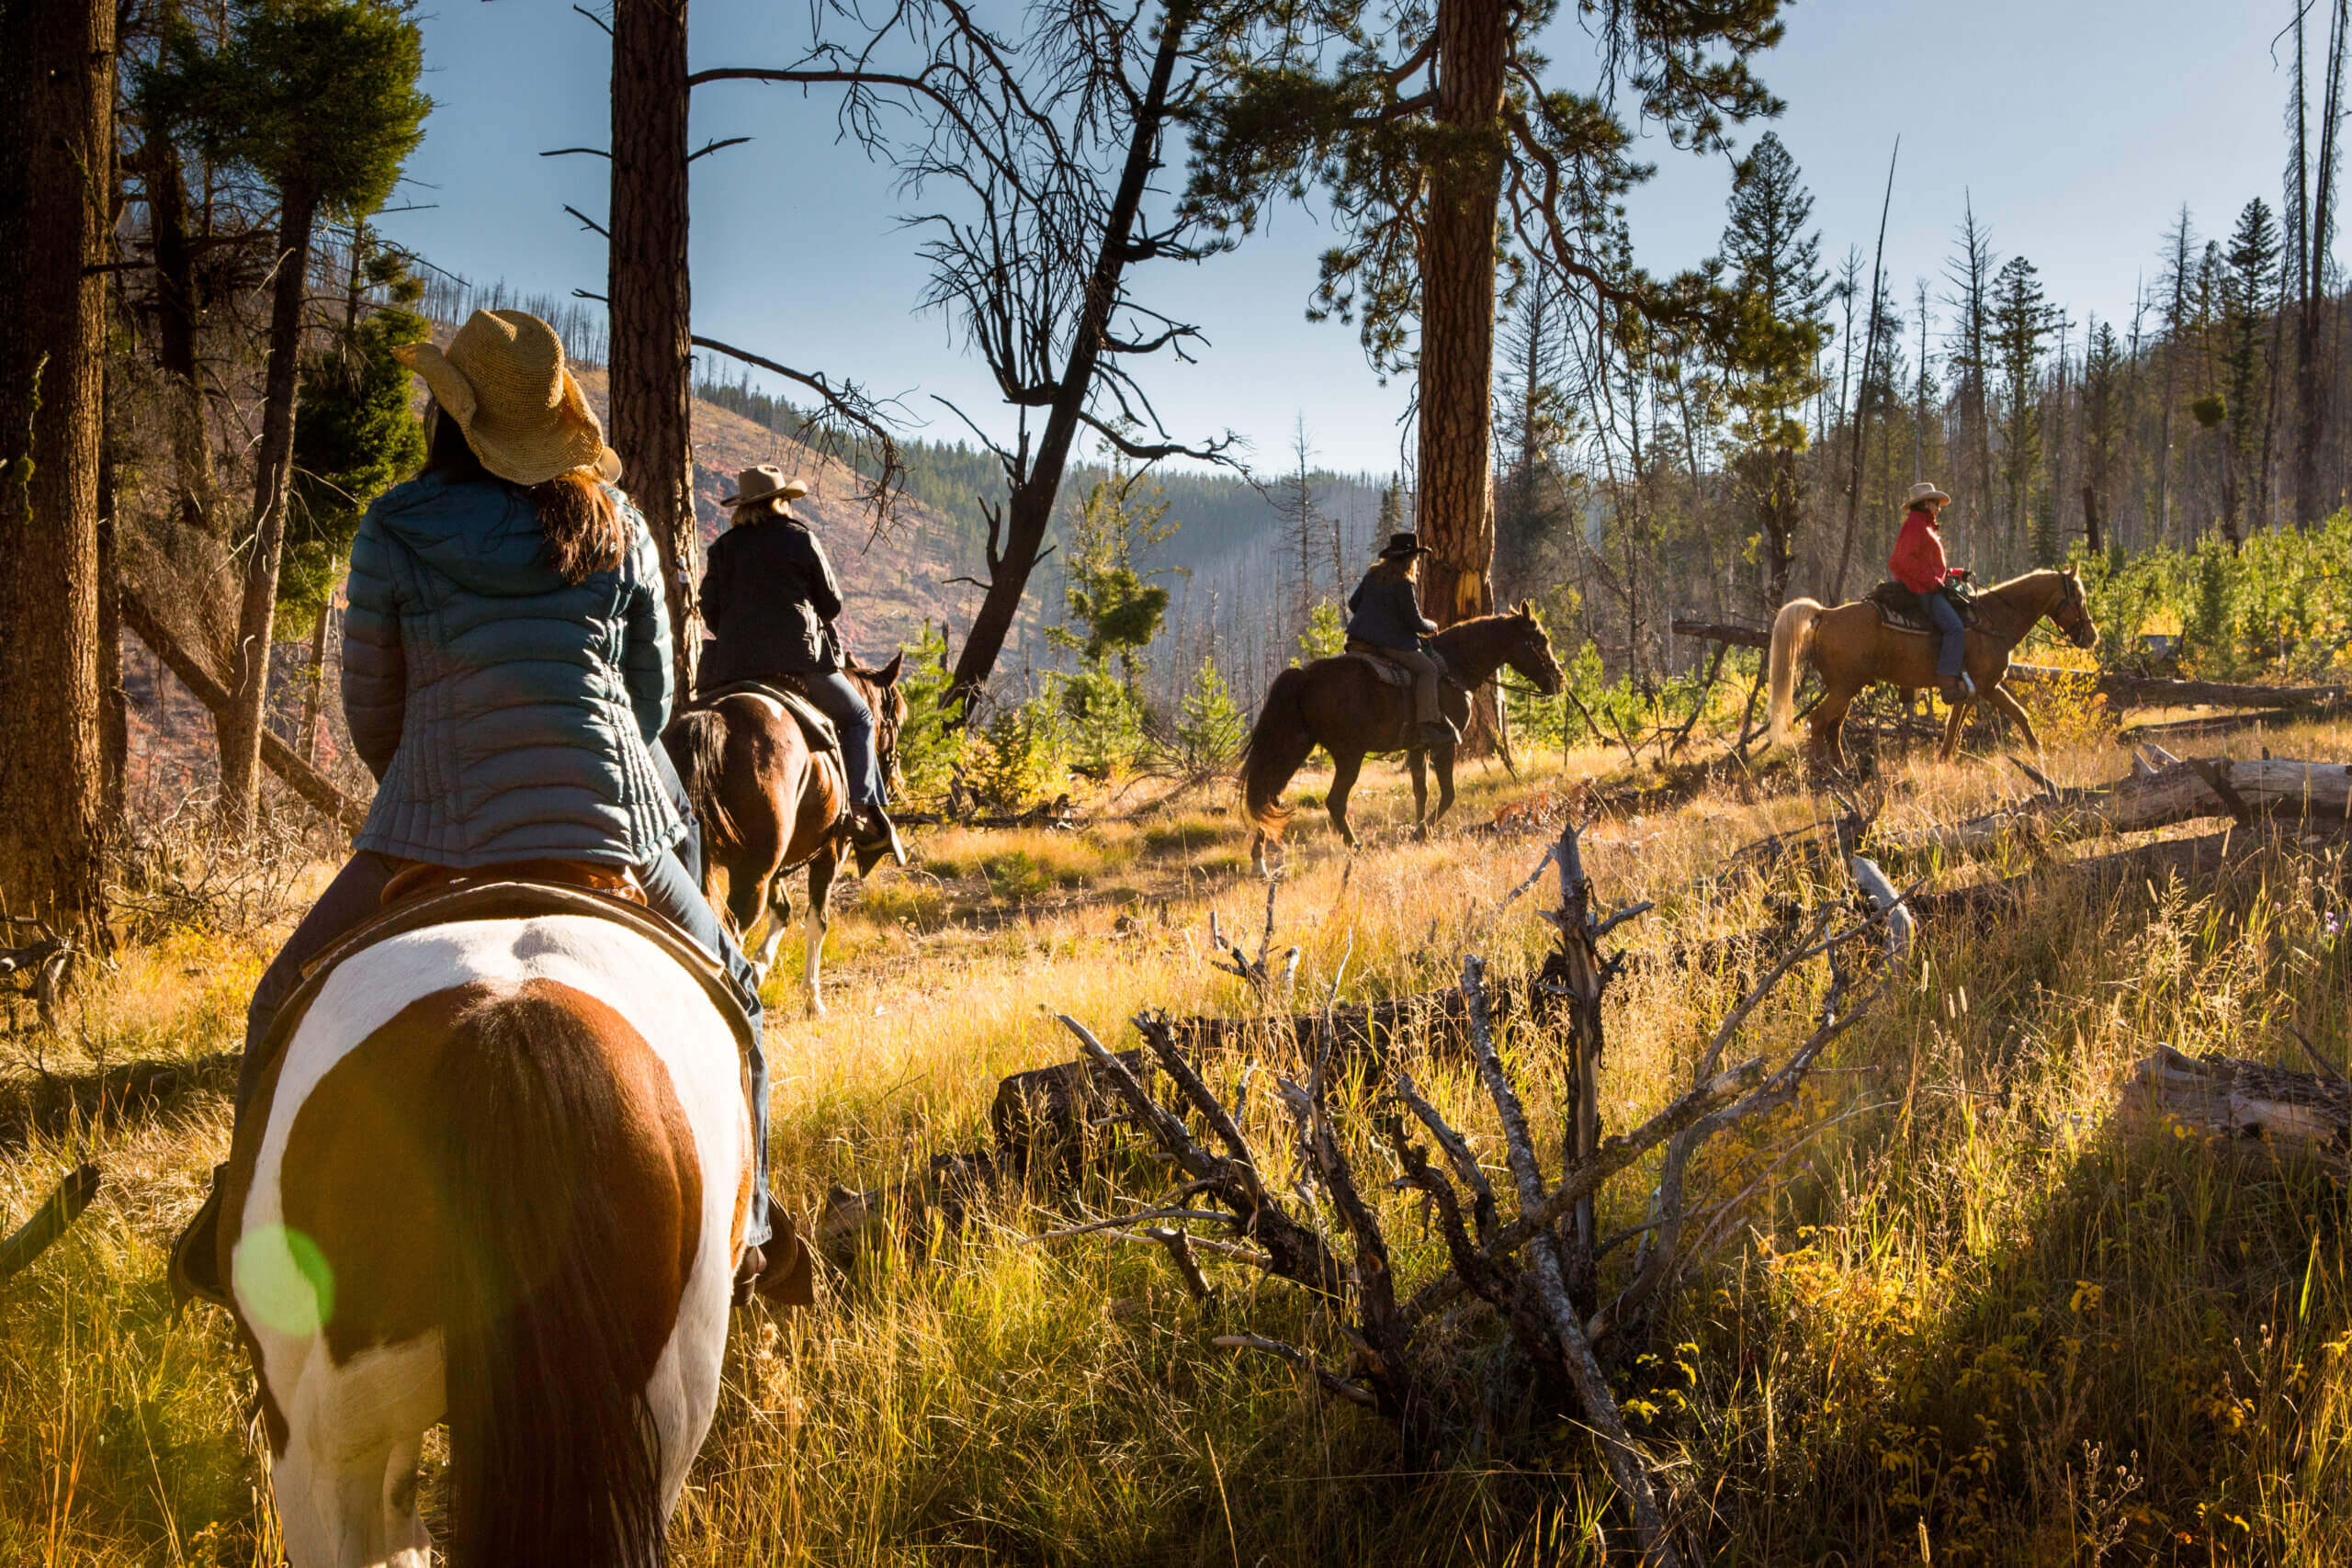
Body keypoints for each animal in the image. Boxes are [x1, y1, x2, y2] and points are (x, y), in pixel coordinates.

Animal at [673, 658, 917, 1020]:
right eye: (896, 718)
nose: (894, 774)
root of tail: (716, 718)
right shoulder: (830, 854)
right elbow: (817, 921)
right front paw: (812, 999)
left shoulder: (774, 867)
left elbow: (783, 911)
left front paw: (759, 969)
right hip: (752, 875)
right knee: (730, 932)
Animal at [1241, 606, 1571, 869]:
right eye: (1540, 641)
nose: (1558, 680)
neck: (1454, 666)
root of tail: (1305, 676)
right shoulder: (1445, 744)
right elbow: (1448, 794)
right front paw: (1421, 832)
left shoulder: (1418, 747)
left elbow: (1420, 791)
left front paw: (1420, 831)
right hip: (1349, 756)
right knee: (1334, 801)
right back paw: (1354, 847)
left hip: (1295, 746)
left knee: (1270, 795)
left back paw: (1260, 860)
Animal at [1769, 570, 2107, 780]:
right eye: (2078, 597)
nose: (2091, 636)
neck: (1995, 620)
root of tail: (1825, 614)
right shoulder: (1986, 686)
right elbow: (2008, 716)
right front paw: (2039, 754)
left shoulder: (1973, 689)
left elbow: (1961, 726)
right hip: (1843, 689)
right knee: (1818, 721)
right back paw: (1821, 772)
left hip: (1846, 689)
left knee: (1833, 727)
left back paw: (1842, 770)